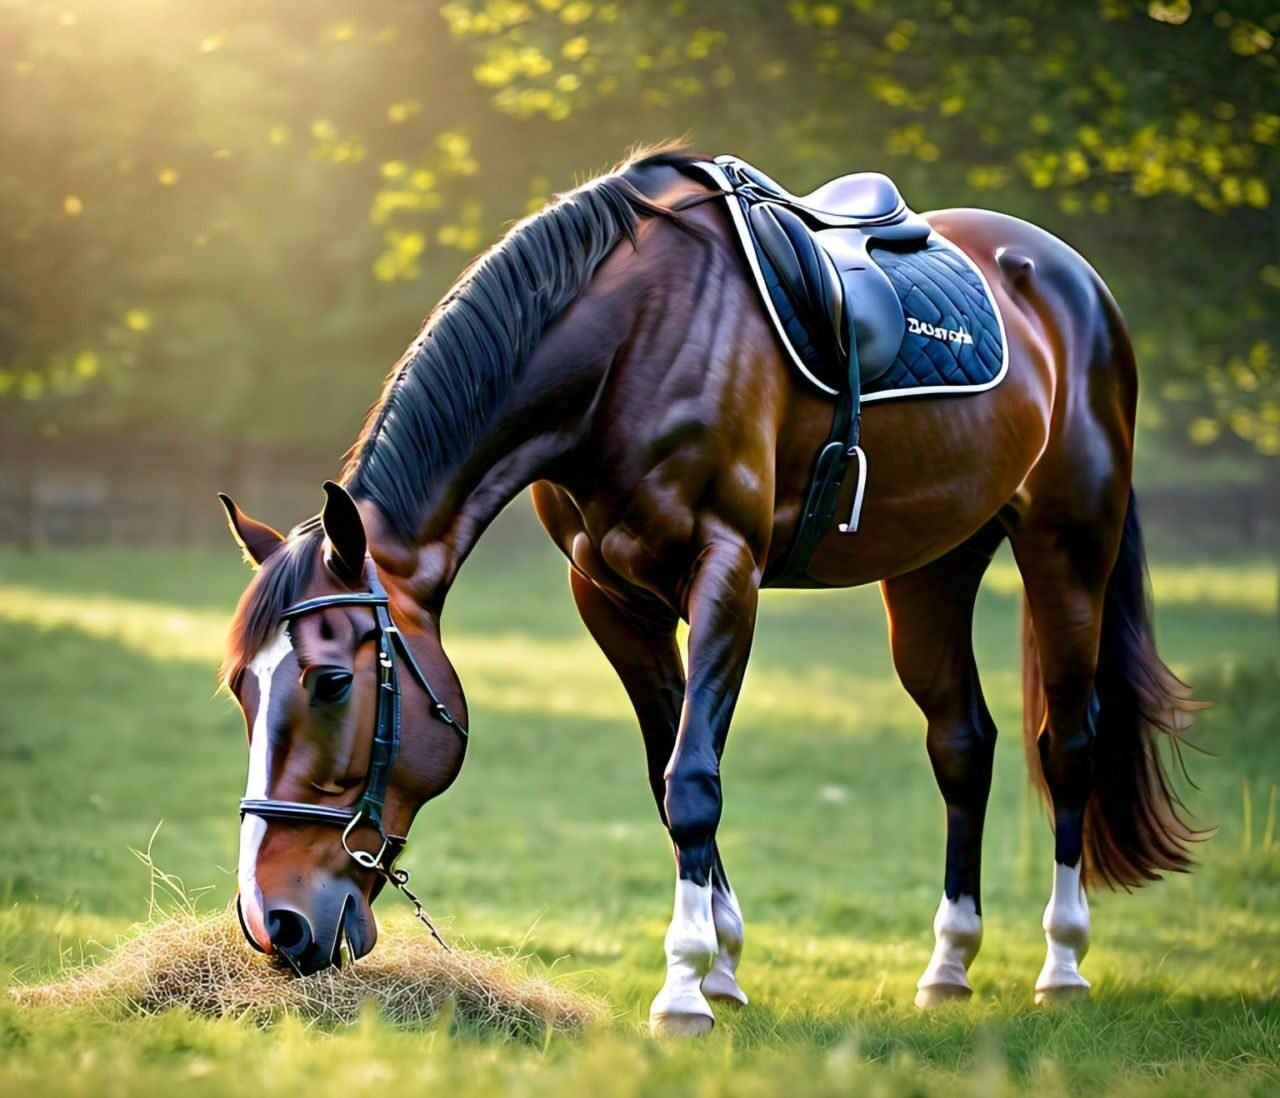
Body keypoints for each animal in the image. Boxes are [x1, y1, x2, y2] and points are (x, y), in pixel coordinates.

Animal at [215, 143, 1203, 1028]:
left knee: (1067, 741)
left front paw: (686, 987)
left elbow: (693, 779)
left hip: (1069, 543)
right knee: (963, 745)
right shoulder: (611, 598)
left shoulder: (725, 572)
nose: (274, 923)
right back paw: (949, 965)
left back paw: (1063, 964)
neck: (623, 351)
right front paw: (722, 966)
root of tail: (1073, 280)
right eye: (239, 692)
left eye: (331, 681)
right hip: (934, 565)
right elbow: (667, 780)